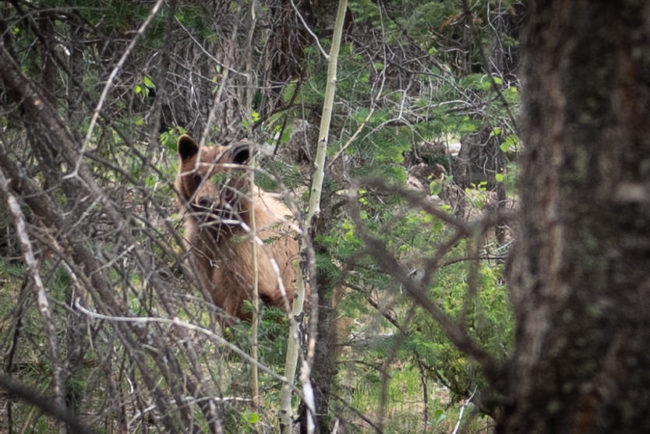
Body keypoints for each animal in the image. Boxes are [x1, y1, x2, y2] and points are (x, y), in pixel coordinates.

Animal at [176, 136, 300, 322]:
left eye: (222, 178)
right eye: (197, 176)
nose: (205, 200)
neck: (220, 225)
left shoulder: (244, 245)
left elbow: (248, 291)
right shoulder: (199, 245)